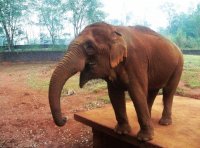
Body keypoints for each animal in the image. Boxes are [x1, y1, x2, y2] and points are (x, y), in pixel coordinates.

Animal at [48, 21, 183, 141]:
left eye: (90, 47)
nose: (65, 118)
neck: (114, 29)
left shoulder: (136, 61)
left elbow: (137, 93)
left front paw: (144, 139)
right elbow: (115, 94)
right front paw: (121, 132)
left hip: (178, 66)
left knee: (168, 92)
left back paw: (165, 123)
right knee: (153, 91)